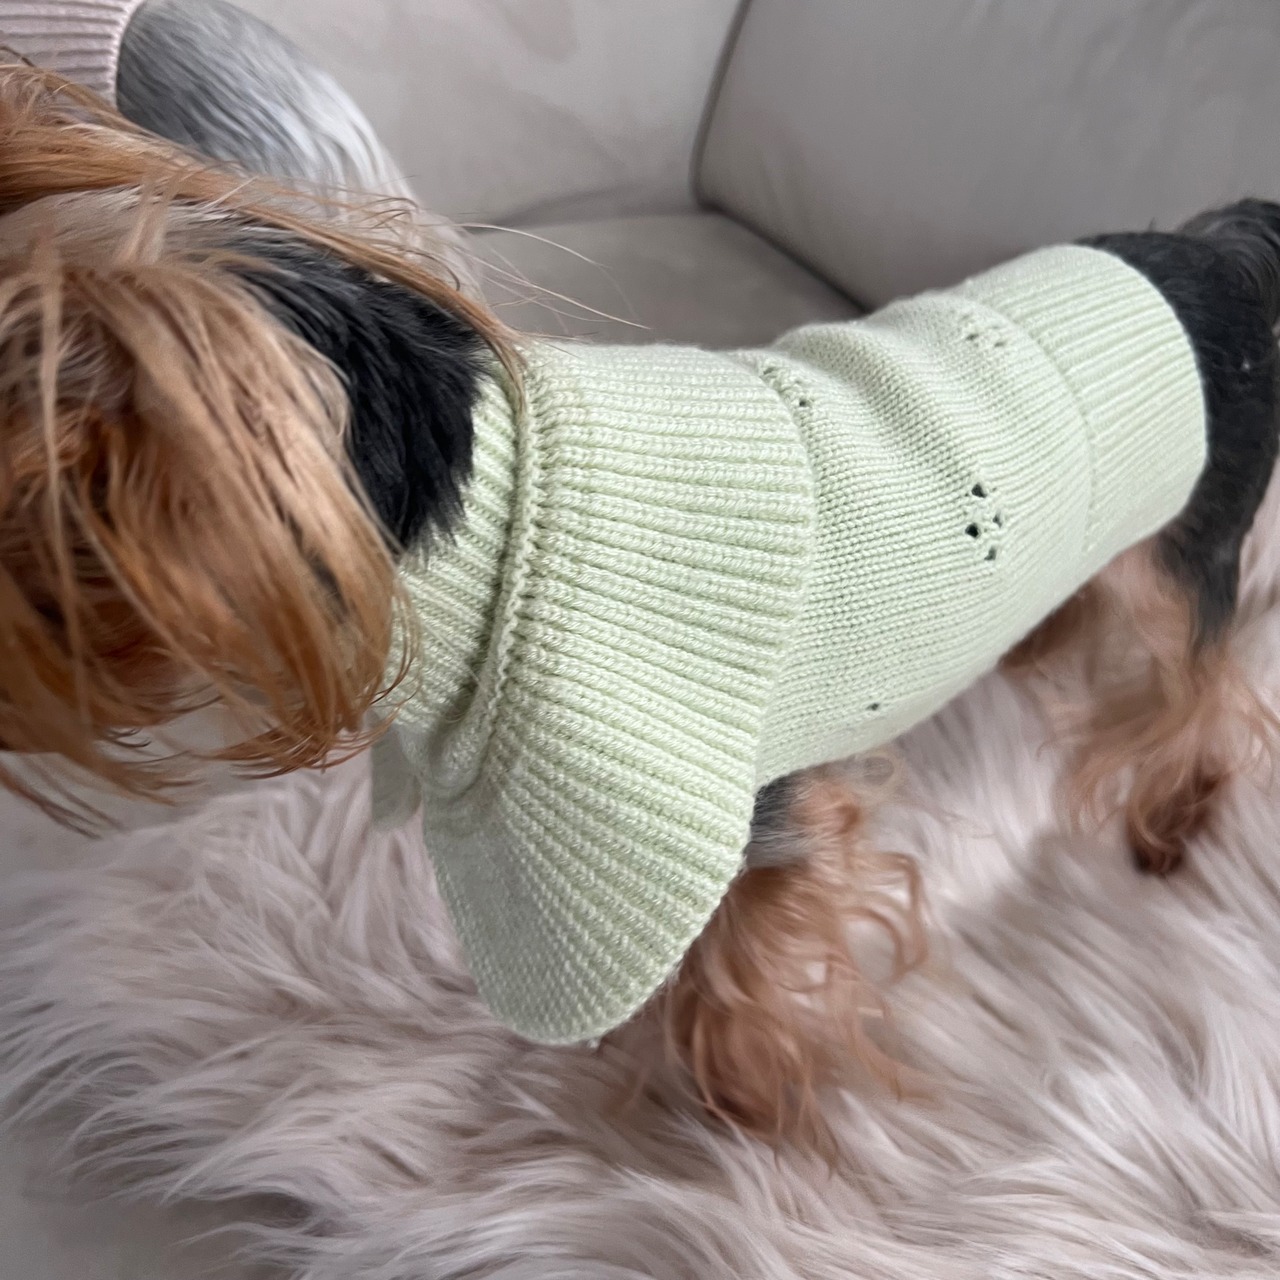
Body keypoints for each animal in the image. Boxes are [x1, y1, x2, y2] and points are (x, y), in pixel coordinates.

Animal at [1, 64, 1277, 1151]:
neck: (487, 510)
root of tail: (1221, 248)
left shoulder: (756, 806)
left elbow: (740, 957)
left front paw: (743, 1107)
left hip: (1192, 541)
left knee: (1208, 673)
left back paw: (1173, 811)